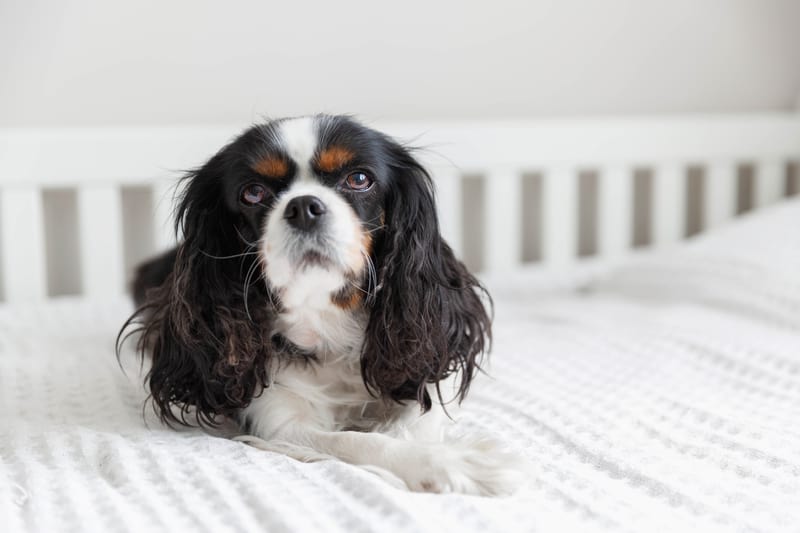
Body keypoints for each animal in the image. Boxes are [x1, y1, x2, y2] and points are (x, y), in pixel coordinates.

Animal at [122, 114, 524, 492]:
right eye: (253, 193)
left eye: (359, 179)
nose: (303, 206)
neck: (326, 322)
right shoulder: (279, 422)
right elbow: (356, 442)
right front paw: (448, 465)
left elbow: (419, 416)